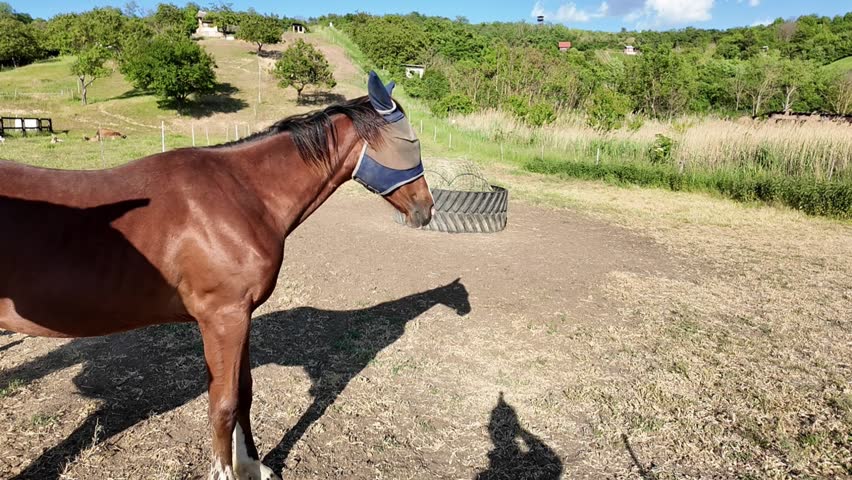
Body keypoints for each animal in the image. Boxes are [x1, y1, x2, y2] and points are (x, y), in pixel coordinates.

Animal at [0, 71, 433, 480]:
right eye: (410, 143)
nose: (426, 209)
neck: (240, 195)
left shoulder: (241, 316)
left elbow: (244, 394)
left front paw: (252, 466)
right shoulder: (222, 318)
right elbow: (223, 405)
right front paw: (227, 470)